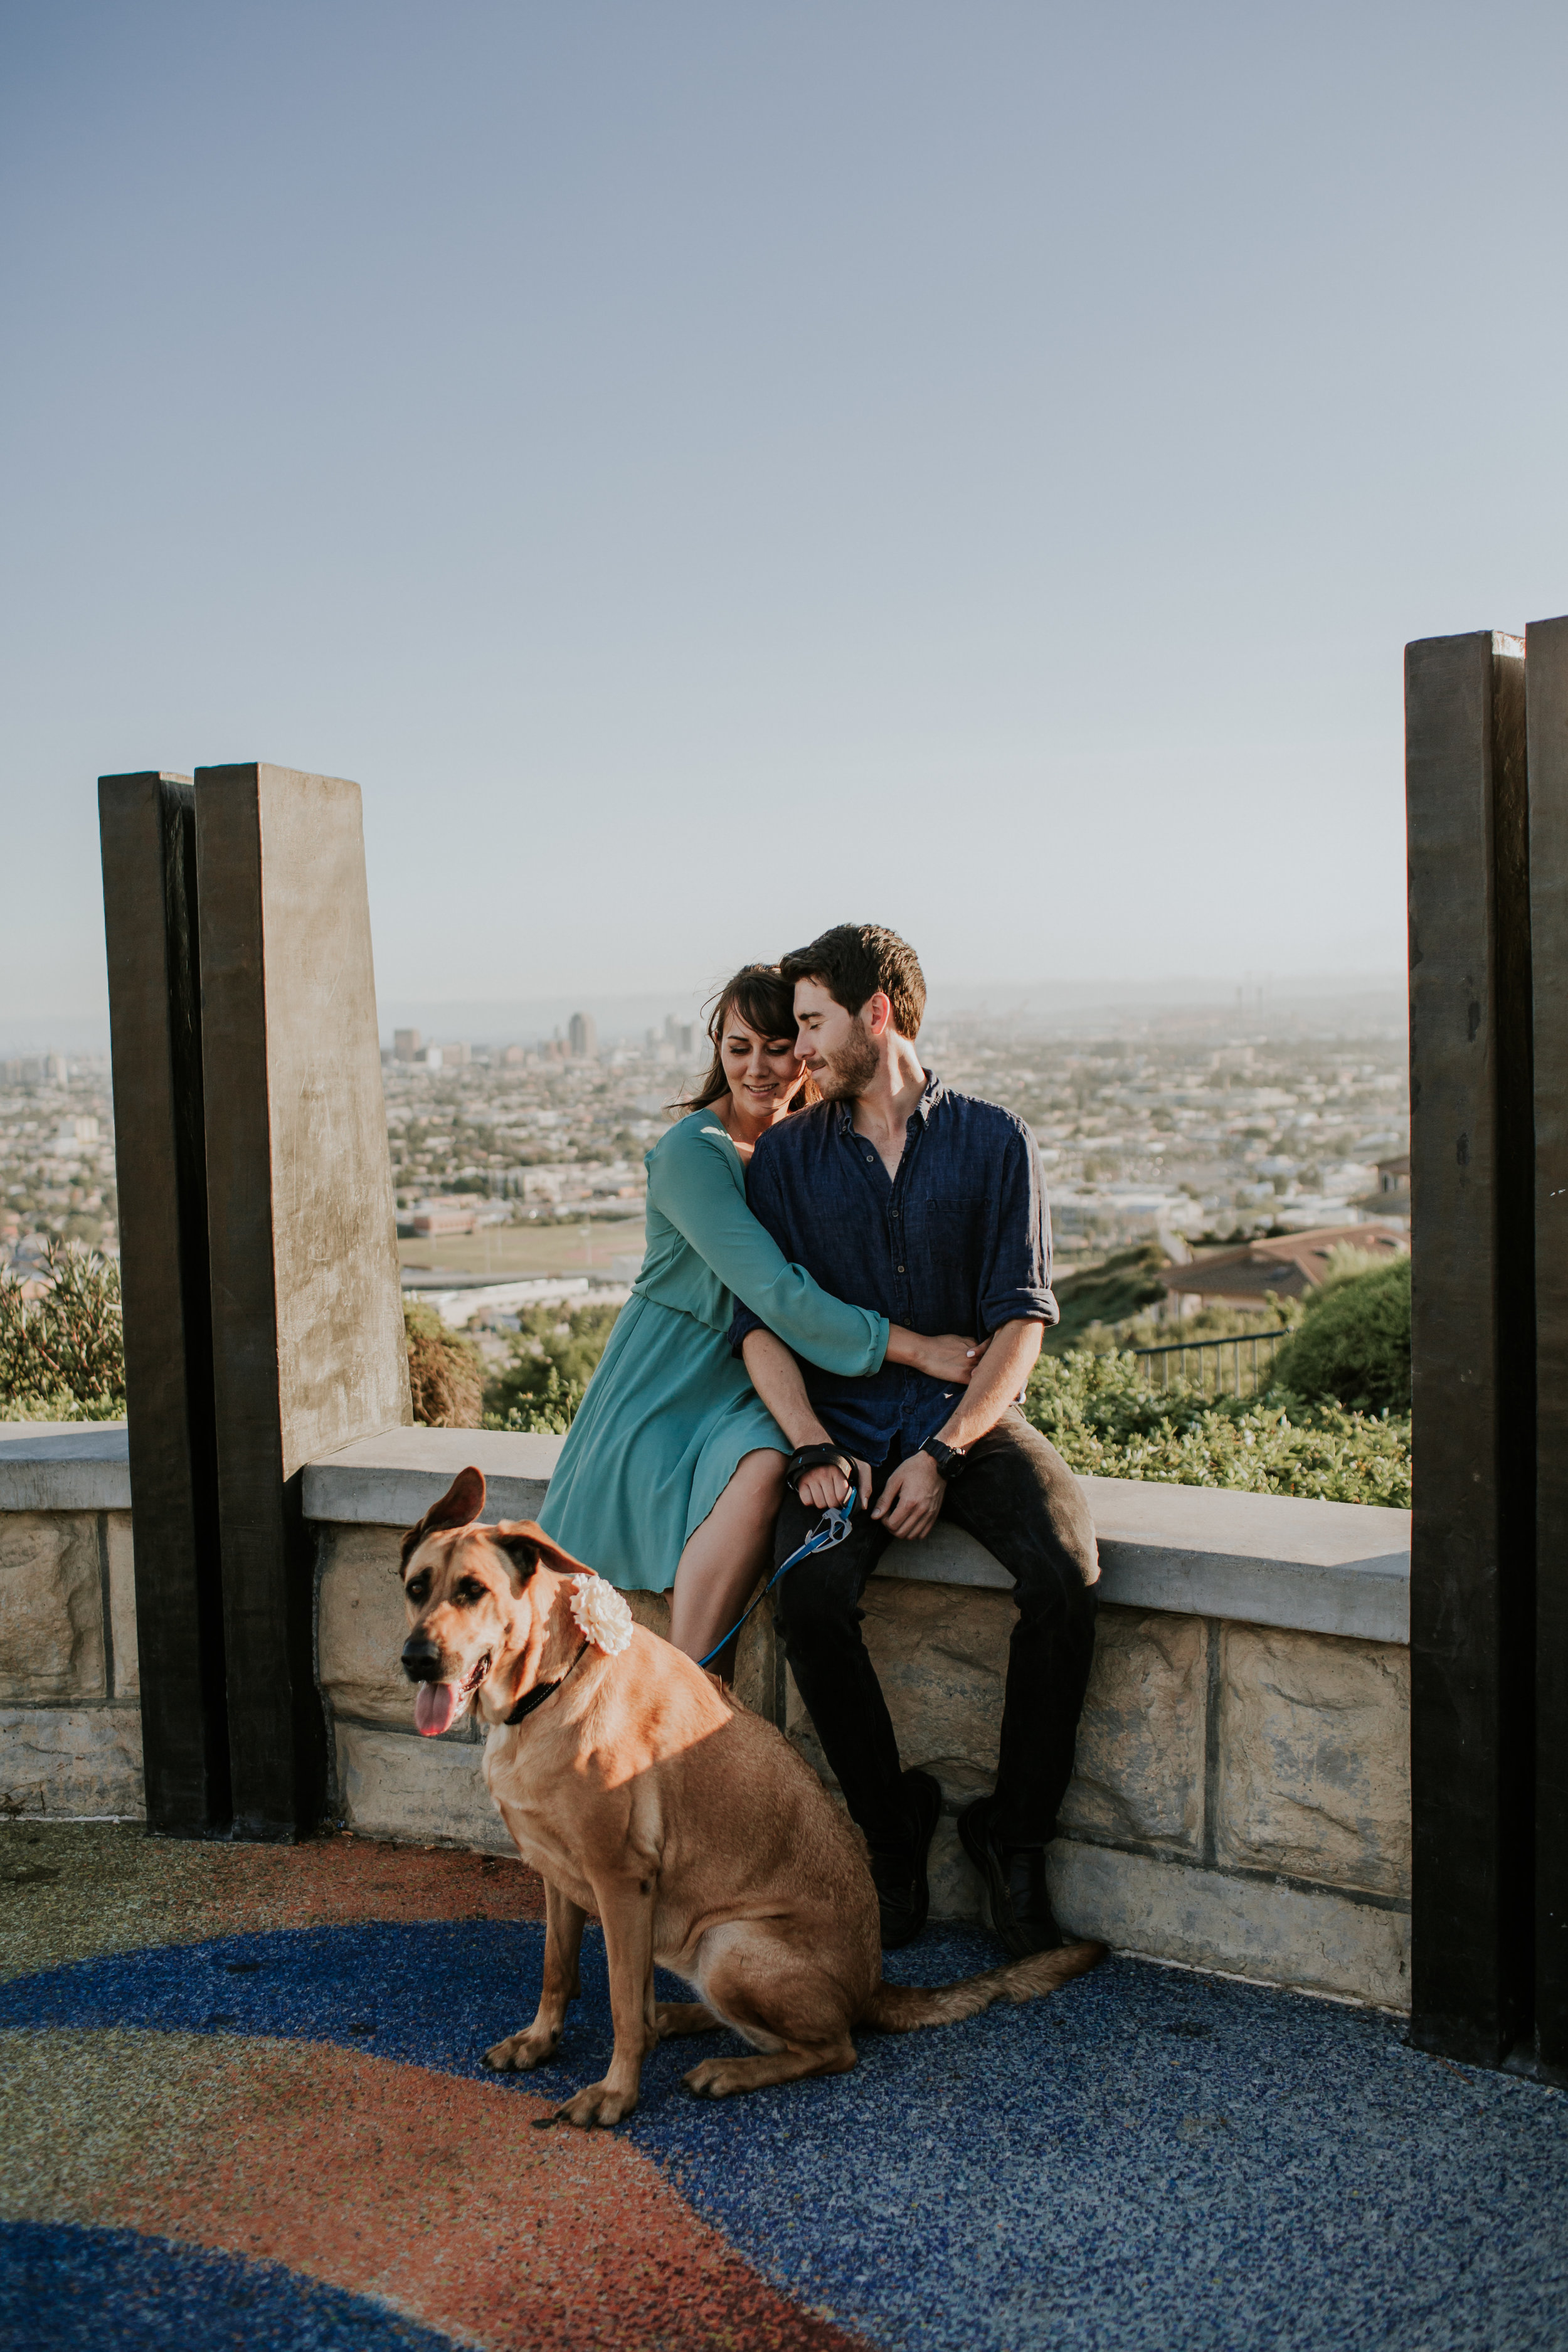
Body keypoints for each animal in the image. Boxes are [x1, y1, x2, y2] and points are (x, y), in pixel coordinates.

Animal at [400, 1458, 1110, 2126]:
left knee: (833, 2049)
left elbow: (621, 2002)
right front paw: (541, 2041)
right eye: (416, 1587)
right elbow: (559, 1969)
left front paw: (616, 2093)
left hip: (730, 1943)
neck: (546, 1688)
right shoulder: (559, 1876)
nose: (415, 1659)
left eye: (473, 1591)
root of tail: (872, 1984)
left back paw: (727, 2068)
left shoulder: (621, 1883)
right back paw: (678, 2020)